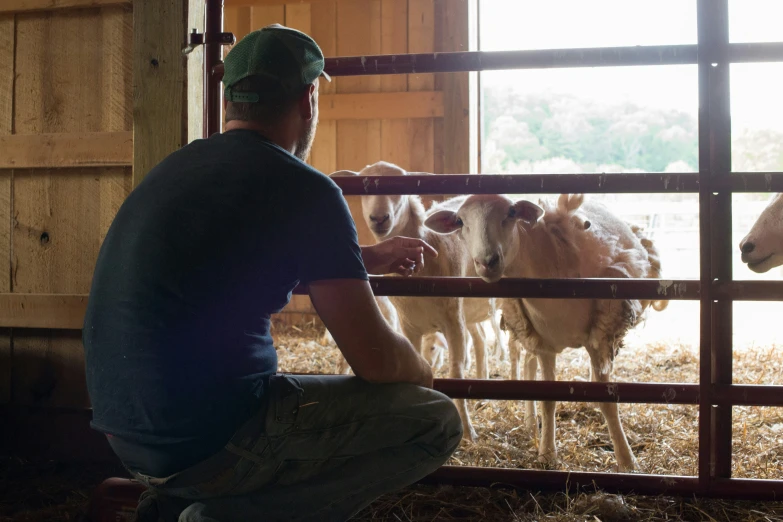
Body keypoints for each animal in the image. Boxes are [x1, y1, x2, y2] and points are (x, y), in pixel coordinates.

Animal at [328, 161, 506, 438]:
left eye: (400, 189)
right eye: (365, 189)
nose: (379, 219)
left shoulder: (453, 322)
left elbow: (456, 371)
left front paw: (467, 431)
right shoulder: (409, 326)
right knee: (479, 341)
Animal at [426, 192, 672, 472]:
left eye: (511, 213)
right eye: (460, 221)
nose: (487, 262)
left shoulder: (598, 339)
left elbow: (608, 401)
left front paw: (627, 460)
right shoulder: (543, 343)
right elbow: (547, 398)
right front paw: (547, 454)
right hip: (526, 328)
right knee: (529, 367)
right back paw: (531, 423)